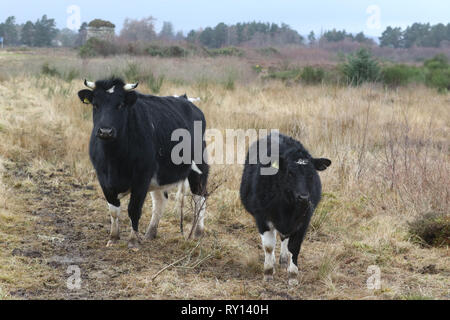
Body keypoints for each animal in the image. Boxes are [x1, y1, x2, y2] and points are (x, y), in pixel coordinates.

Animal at [78, 78, 209, 250]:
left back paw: (198, 233)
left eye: (120, 105)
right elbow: (113, 209)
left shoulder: (142, 177)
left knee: (200, 197)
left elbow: (134, 209)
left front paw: (133, 241)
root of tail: (185, 99)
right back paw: (150, 233)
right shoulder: (103, 178)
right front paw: (113, 238)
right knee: (160, 200)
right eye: (95, 105)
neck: (114, 159)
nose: (105, 131)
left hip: (199, 167)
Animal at [239, 134, 330, 284]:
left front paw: (292, 275)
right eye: (290, 173)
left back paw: (283, 259)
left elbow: (294, 246)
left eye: (311, 174)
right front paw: (268, 272)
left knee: (284, 238)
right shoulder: (262, 217)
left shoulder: (304, 220)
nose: (303, 197)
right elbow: (268, 246)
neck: (287, 206)